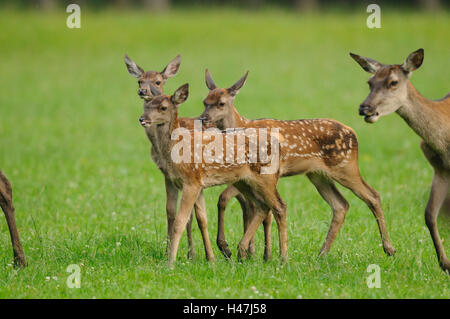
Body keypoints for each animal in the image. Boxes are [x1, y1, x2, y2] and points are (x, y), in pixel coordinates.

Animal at [141, 84, 288, 266]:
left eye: (163, 107)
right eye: (147, 105)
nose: (142, 119)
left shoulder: (191, 182)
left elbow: (179, 222)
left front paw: (170, 263)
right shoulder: (196, 183)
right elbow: (202, 218)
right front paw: (210, 258)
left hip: (266, 178)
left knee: (280, 206)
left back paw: (282, 258)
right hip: (244, 181)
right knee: (262, 206)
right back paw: (243, 251)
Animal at [199, 69, 396, 258]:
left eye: (221, 103)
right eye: (205, 101)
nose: (203, 118)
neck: (242, 125)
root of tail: (353, 133)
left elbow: (228, 199)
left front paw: (238, 250)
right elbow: (245, 204)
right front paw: (252, 253)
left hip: (345, 166)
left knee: (373, 196)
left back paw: (389, 249)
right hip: (318, 175)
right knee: (341, 205)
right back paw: (322, 254)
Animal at [352, 48, 450, 274]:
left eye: (393, 82)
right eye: (370, 82)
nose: (365, 108)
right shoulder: (440, 169)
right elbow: (430, 215)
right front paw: (445, 264)